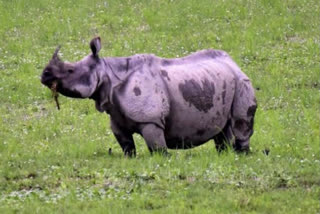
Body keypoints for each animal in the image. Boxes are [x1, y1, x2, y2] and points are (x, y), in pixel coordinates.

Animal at [41, 37, 258, 156]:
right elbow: (127, 146)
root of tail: (234, 62)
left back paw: (241, 155)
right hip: (218, 81)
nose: (44, 75)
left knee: (240, 123)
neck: (107, 74)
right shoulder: (116, 117)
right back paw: (225, 155)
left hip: (242, 82)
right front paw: (130, 158)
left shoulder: (151, 119)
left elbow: (157, 148)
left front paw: (163, 159)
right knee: (223, 130)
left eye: (70, 70)